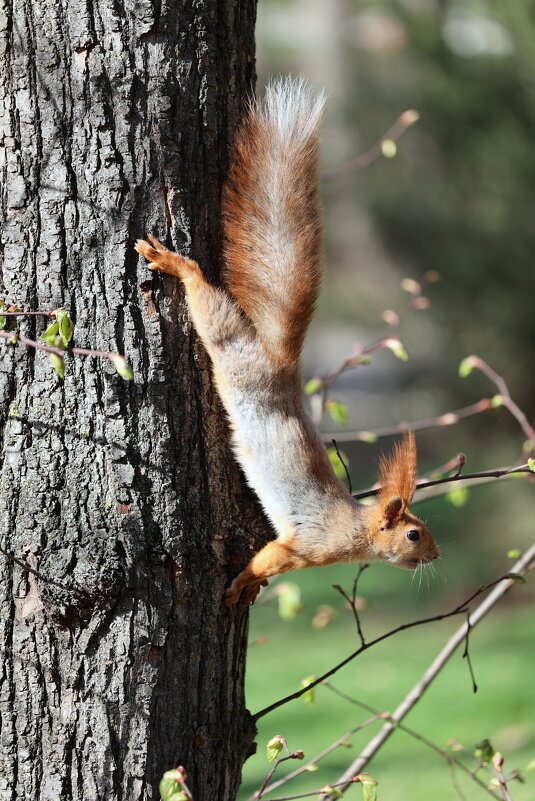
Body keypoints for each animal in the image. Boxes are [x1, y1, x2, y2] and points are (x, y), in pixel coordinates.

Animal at [135, 79, 440, 608]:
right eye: (413, 534)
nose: (438, 555)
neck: (355, 530)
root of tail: (280, 363)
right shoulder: (307, 545)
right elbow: (269, 558)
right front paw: (240, 584)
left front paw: (249, 587)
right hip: (234, 354)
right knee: (212, 312)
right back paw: (179, 266)